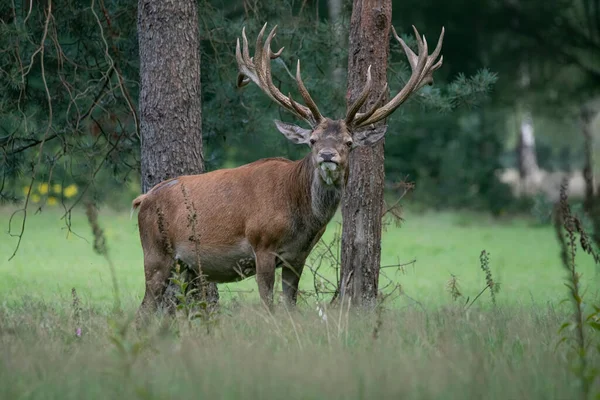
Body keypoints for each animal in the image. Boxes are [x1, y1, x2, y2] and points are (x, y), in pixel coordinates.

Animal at [132, 23, 446, 314]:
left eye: (349, 142)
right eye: (312, 140)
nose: (328, 156)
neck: (301, 218)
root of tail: (143, 198)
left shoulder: (297, 257)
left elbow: (290, 305)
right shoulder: (262, 244)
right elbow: (268, 305)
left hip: (184, 266)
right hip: (156, 253)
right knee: (144, 309)